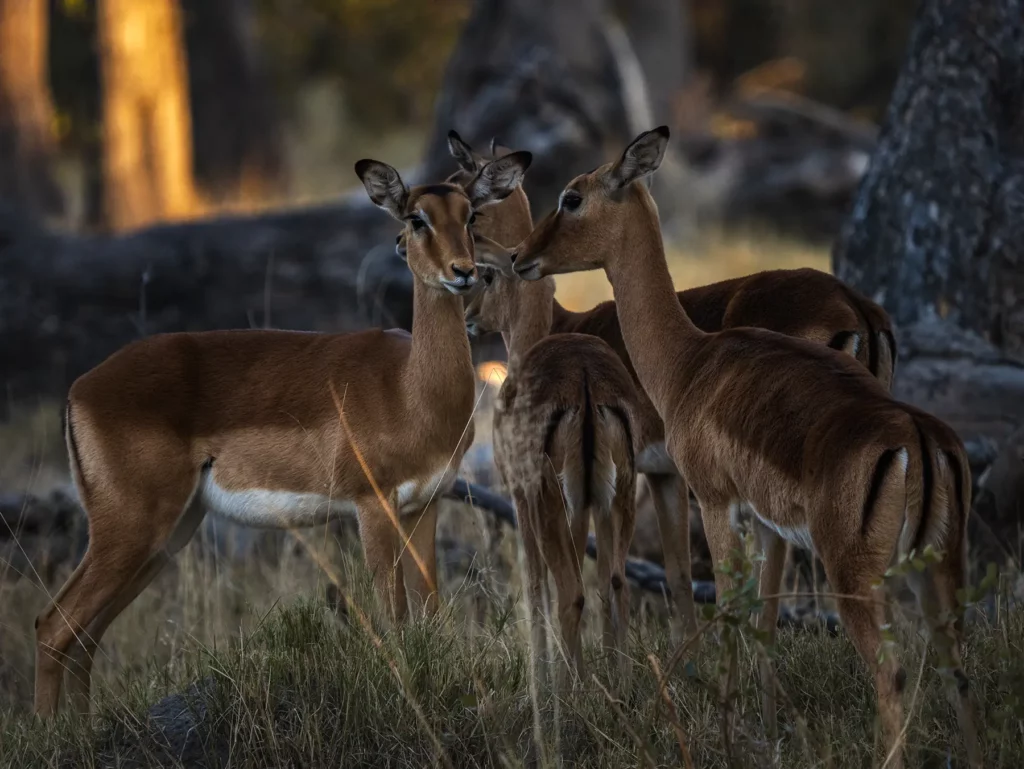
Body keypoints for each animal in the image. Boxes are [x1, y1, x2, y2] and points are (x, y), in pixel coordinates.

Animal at [32, 149, 533, 718]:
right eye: (415, 218)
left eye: (471, 215)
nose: (464, 272)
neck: (409, 386)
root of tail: (79, 389)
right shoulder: (372, 506)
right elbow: (396, 619)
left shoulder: (423, 506)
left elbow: (430, 612)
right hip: (130, 528)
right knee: (52, 626)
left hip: (166, 536)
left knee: (84, 636)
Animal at [509, 126, 981, 768]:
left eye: (572, 196)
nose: (520, 257)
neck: (690, 359)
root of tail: (916, 437)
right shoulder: (764, 520)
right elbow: (761, 612)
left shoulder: (713, 499)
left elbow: (723, 603)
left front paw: (730, 732)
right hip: (940, 566)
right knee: (958, 667)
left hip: (857, 572)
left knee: (894, 672)